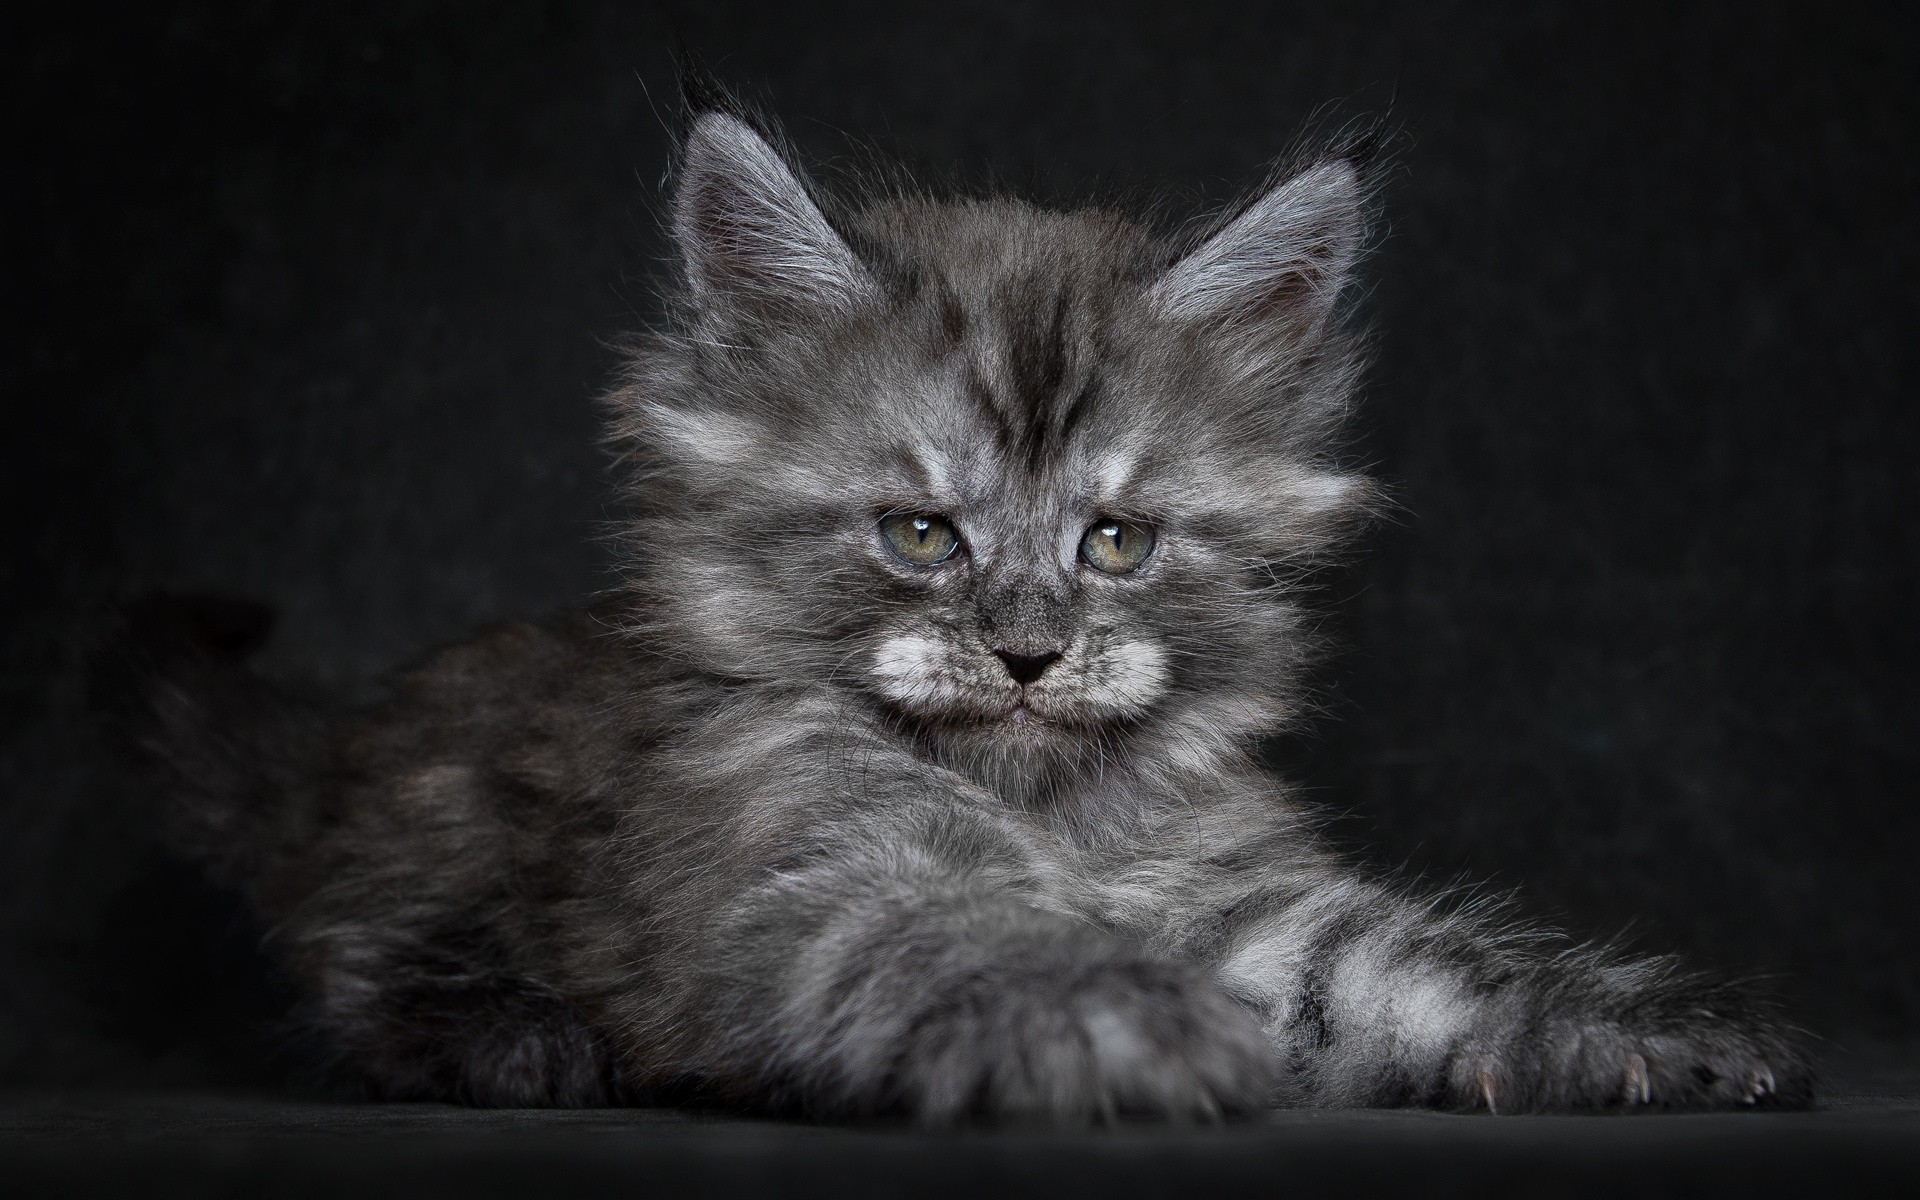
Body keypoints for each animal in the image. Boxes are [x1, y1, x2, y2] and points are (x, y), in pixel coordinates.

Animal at [127, 96, 1804, 1121]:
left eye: (1117, 541)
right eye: (922, 533)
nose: (1028, 651)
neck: (1039, 807)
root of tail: (335, 760)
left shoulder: (1240, 905)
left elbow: (1415, 974)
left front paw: (1632, 1031)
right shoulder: (811, 865)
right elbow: (968, 934)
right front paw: (1122, 1026)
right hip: (426, 846)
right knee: (358, 965)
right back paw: (515, 1035)